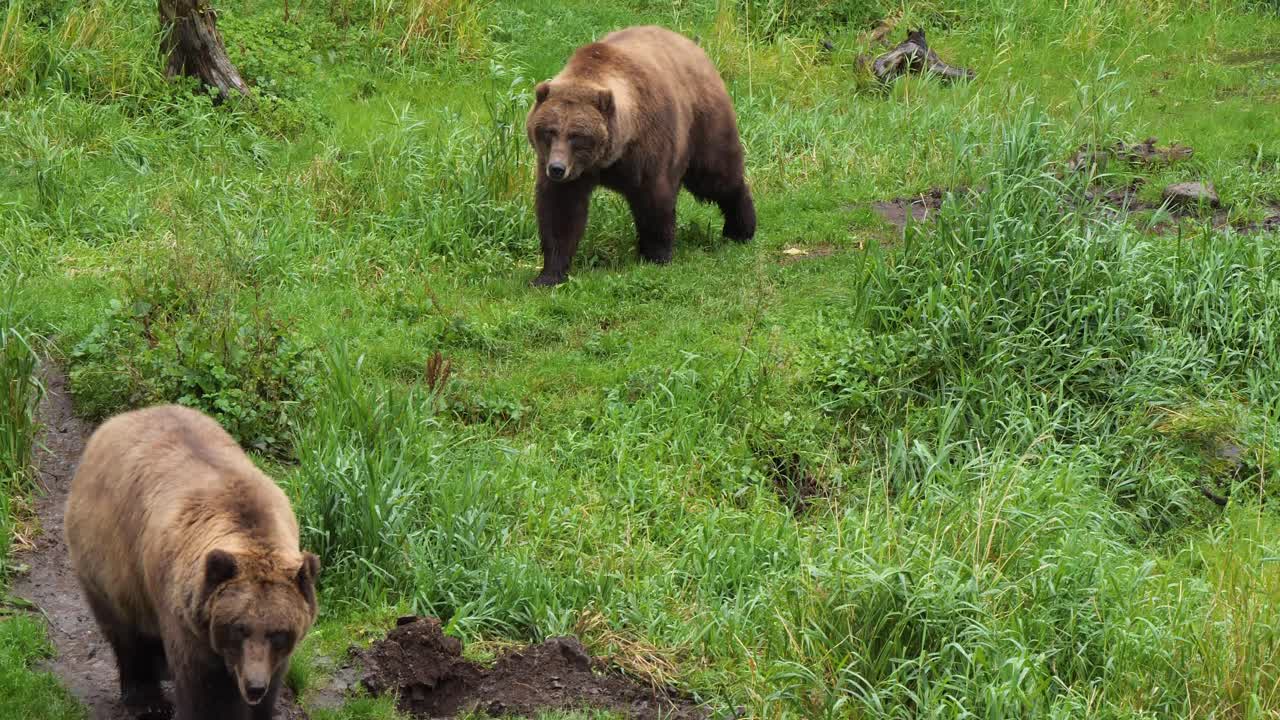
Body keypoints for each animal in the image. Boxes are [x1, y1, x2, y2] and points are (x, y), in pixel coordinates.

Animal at [63, 404, 320, 720]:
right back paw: (146, 699)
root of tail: (122, 417)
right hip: (109, 558)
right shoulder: (186, 619)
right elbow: (200, 688)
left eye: (279, 632)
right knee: (126, 632)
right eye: (239, 627)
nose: (255, 685)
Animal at [525, 25, 756, 286]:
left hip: (703, 122)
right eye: (549, 131)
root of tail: (694, 47)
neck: (609, 157)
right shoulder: (575, 172)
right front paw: (548, 275)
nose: (556, 168)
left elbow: (654, 200)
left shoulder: (649, 148)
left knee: (716, 176)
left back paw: (740, 229)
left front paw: (655, 255)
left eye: (577, 135)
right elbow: (560, 212)